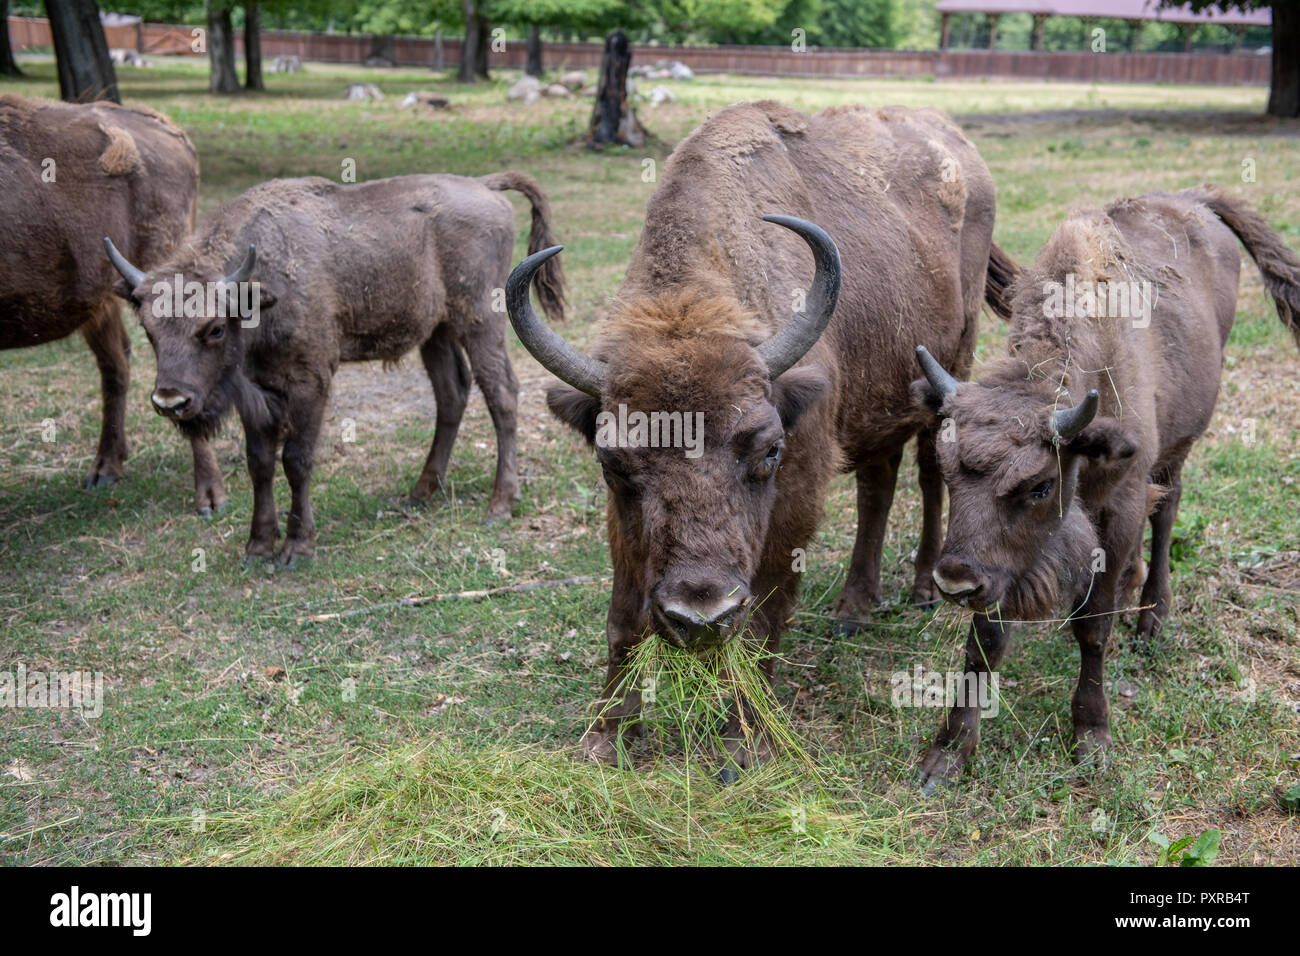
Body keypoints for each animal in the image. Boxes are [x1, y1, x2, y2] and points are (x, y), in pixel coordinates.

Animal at [105, 170, 564, 567]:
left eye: (214, 328)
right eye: (148, 328)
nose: (170, 400)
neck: (259, 289)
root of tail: (484, 185)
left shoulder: (311, 383)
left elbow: (296, 460)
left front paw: (296, 548)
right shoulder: (256, 394)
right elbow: (260, 463)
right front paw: (257, 546)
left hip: (482, 320)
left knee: (501, 394)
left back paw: (500, 504)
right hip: (436, 332)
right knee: (451, 394)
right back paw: (420, 493)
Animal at [506, 98, 1013, 770]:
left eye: (768, 450)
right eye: (613, 466)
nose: (700, 615)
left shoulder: (795, 495)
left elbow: (765, 620)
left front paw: (744, 743)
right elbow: (624, 617)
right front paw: (607, 737)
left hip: (949, 369)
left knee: (929, 472)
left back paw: (922, 590)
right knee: (878, 484)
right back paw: (852, 610)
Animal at [915, 187, 1300, 790]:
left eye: (1040, 486)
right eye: (948, 470)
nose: (953, 582)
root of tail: (1194, 201)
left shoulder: (1117, 509)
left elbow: (1091, 630)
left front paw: (1091, 737)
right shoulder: (1003, 565)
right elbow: (984, 642)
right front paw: (948, 752)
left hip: (1177, 449)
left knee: (1167, 513)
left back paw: (1150, 616)